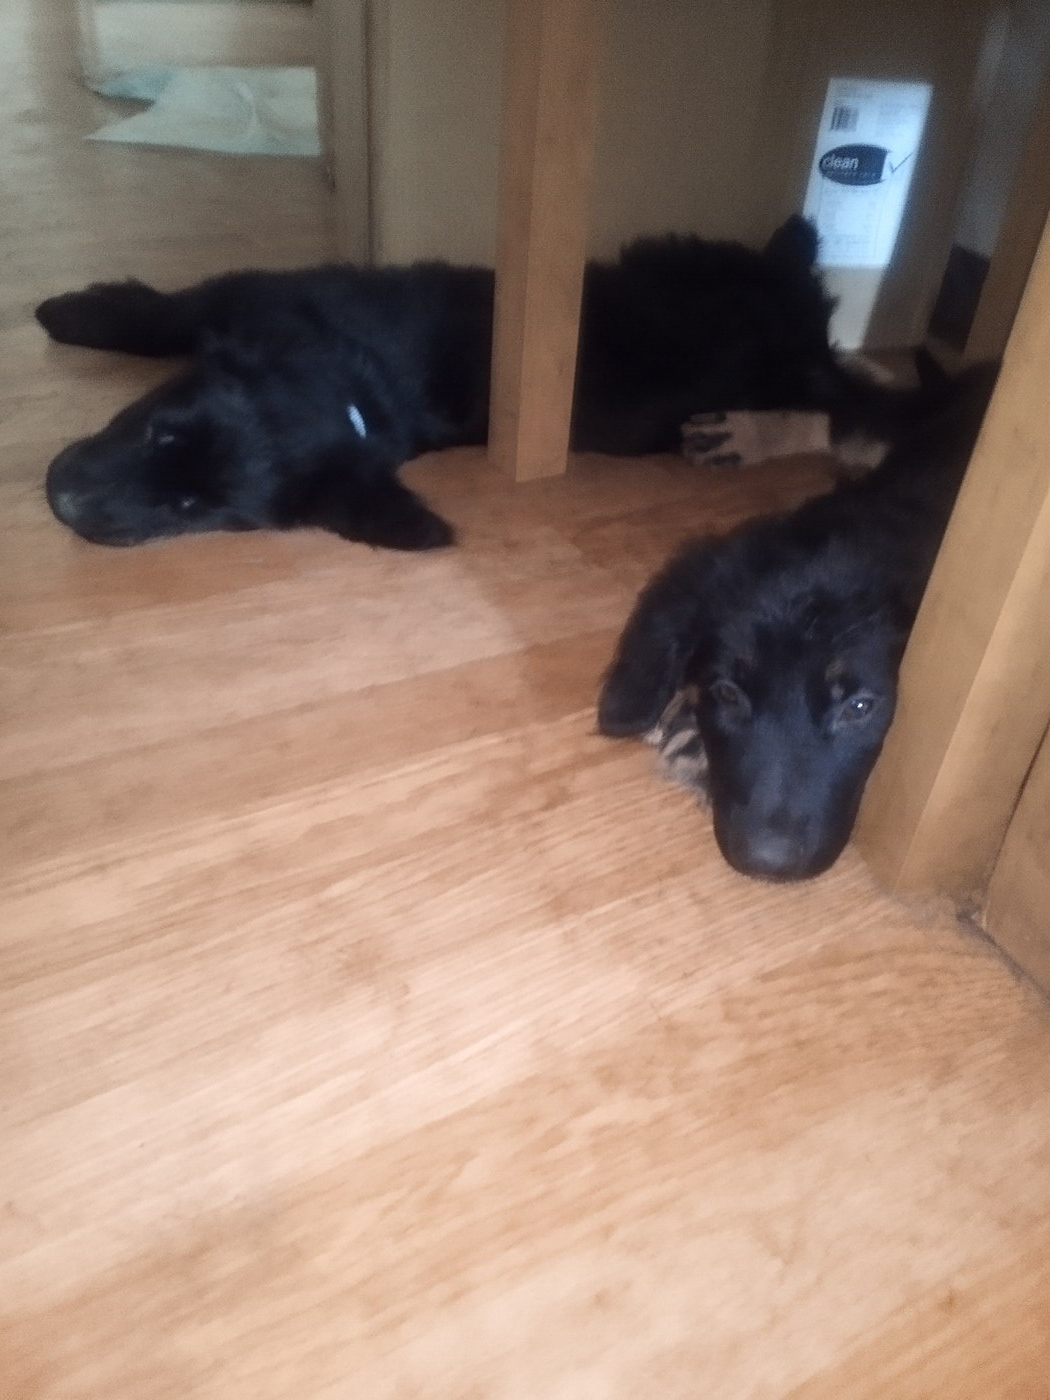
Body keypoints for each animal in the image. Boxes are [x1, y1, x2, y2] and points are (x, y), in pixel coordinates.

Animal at [36, 216, 920, 550]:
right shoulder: (241, 299)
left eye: (197, 510)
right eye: (160, 427)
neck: (352, 395)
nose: (62, 501)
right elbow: (157, 319)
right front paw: (74, 310)